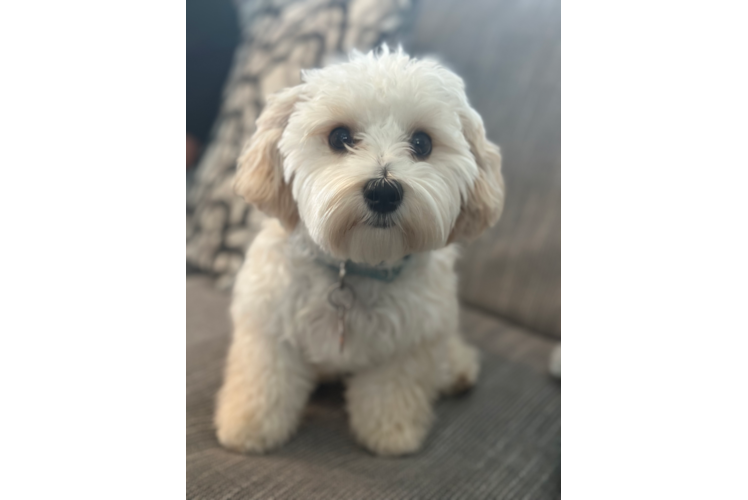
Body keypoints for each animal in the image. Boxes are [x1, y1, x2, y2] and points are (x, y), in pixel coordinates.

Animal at [219, 46, 506, 458]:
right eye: (339, 137)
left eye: (422, 143)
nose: (383, 191)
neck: (356, 264)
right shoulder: (269, 325)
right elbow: (263, 382)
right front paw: (248, 428)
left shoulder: (408, 342)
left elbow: (392, 393)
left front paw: (392, 435)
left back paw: (457, 369)